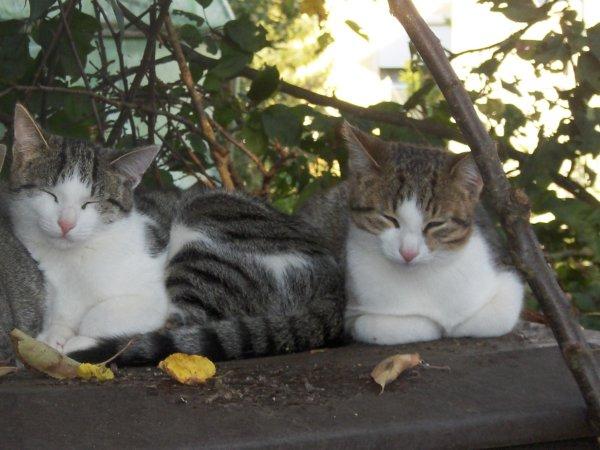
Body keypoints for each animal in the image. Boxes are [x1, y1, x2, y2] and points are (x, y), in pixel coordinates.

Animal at [7, 103, 344, 364]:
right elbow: (58, 316)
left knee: (185, 328)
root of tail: (335, 285)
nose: (66, 223)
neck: (72, 263)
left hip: (206, 227)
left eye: (91, 202)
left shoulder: (152, 295)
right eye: (50, 194)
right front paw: (52, 335)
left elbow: (100, 315)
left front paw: (75, 337)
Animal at [302, 123, 524, 344]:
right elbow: (381, 325)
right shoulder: (350, 312)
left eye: (435, 224)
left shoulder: (508, 280)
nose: (408, 253)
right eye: (389, 218)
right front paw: (432, 325)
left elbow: (490, 318)